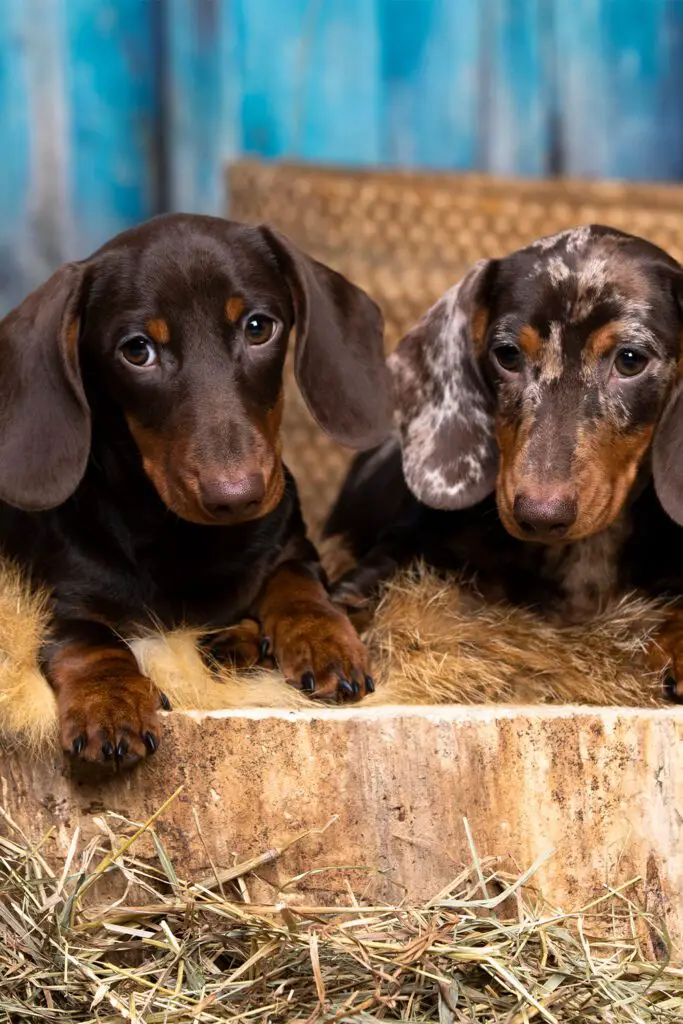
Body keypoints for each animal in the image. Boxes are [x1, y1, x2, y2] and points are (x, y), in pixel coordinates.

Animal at [0, 211, 393, 765]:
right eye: (137, 350)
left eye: (258, 327)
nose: (237, 495)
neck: (187, 540)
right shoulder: (52, 599)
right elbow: (90, 642)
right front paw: (110, 700)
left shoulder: (293, 544)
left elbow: (297, 581)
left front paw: (323, 637)